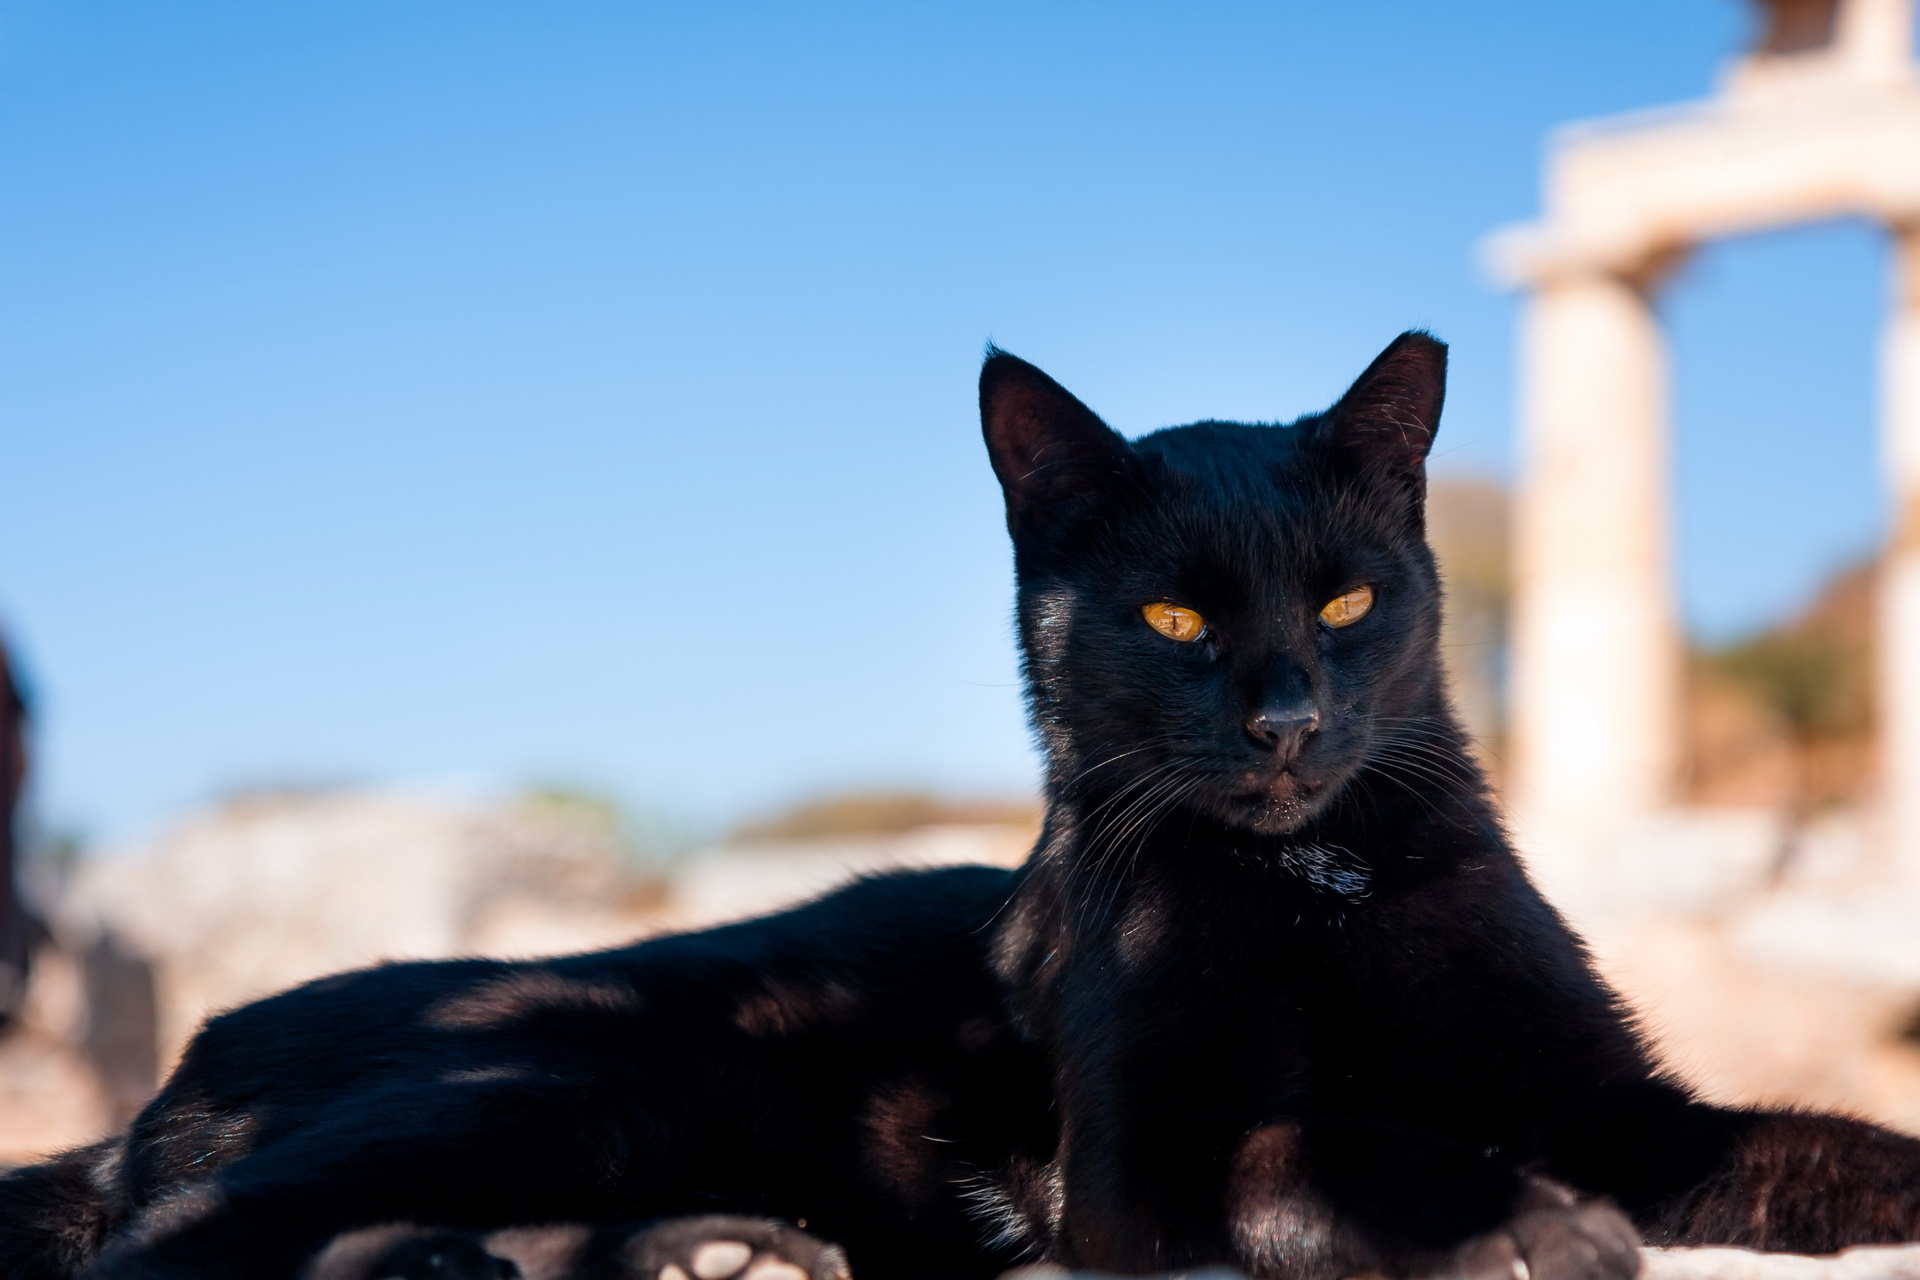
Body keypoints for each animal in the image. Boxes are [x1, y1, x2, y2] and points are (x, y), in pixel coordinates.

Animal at [3, 333, 1920, 1280]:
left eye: (1348, 598)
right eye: (1173, 620)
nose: (1288, 713)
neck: (1318, 884)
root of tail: (170, 1074)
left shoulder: (1626, 1112)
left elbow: (1818, 1149)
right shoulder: (1134, 1177)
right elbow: (1306, 1144)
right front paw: (1515, 1222)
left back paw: (699, 1259)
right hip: (557, 1071)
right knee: (170, 1251)